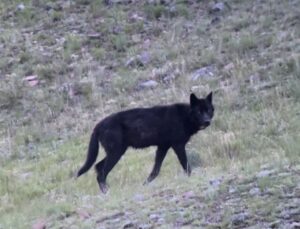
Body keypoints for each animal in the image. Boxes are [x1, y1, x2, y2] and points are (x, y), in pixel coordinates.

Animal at [77, 92, 213, 192]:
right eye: (199, 111)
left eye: (208, 110)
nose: (207, 121)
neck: (184, 116)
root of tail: (98, 125)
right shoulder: (178, 146)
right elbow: (186, 165)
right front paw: (192, 178)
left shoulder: (162, 147)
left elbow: (156, 170)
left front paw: (145, 184)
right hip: (115, 154)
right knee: (101, 173)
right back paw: (106, 192)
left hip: (116, 152)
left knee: (98, 167)